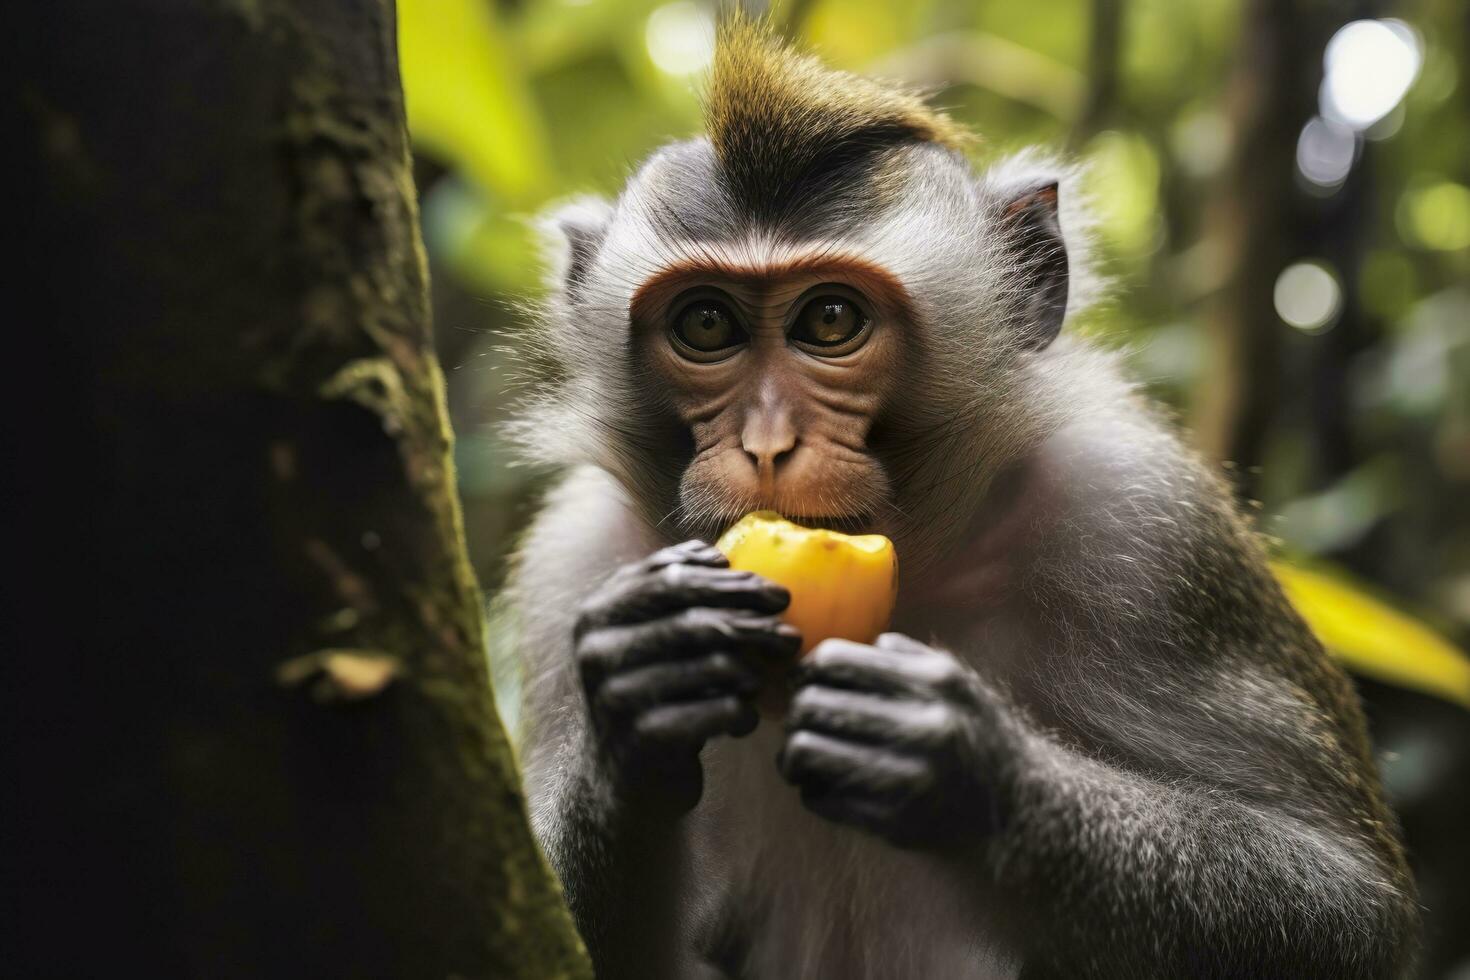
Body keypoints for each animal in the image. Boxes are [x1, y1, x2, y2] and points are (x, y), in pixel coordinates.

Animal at [499, 17, 1417, 980]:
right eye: (706, 324)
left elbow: (1346, 904)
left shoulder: (1144, 522)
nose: (767, 444)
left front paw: (973, 773)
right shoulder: (572, 562)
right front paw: (634, 700)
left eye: (831, 320)